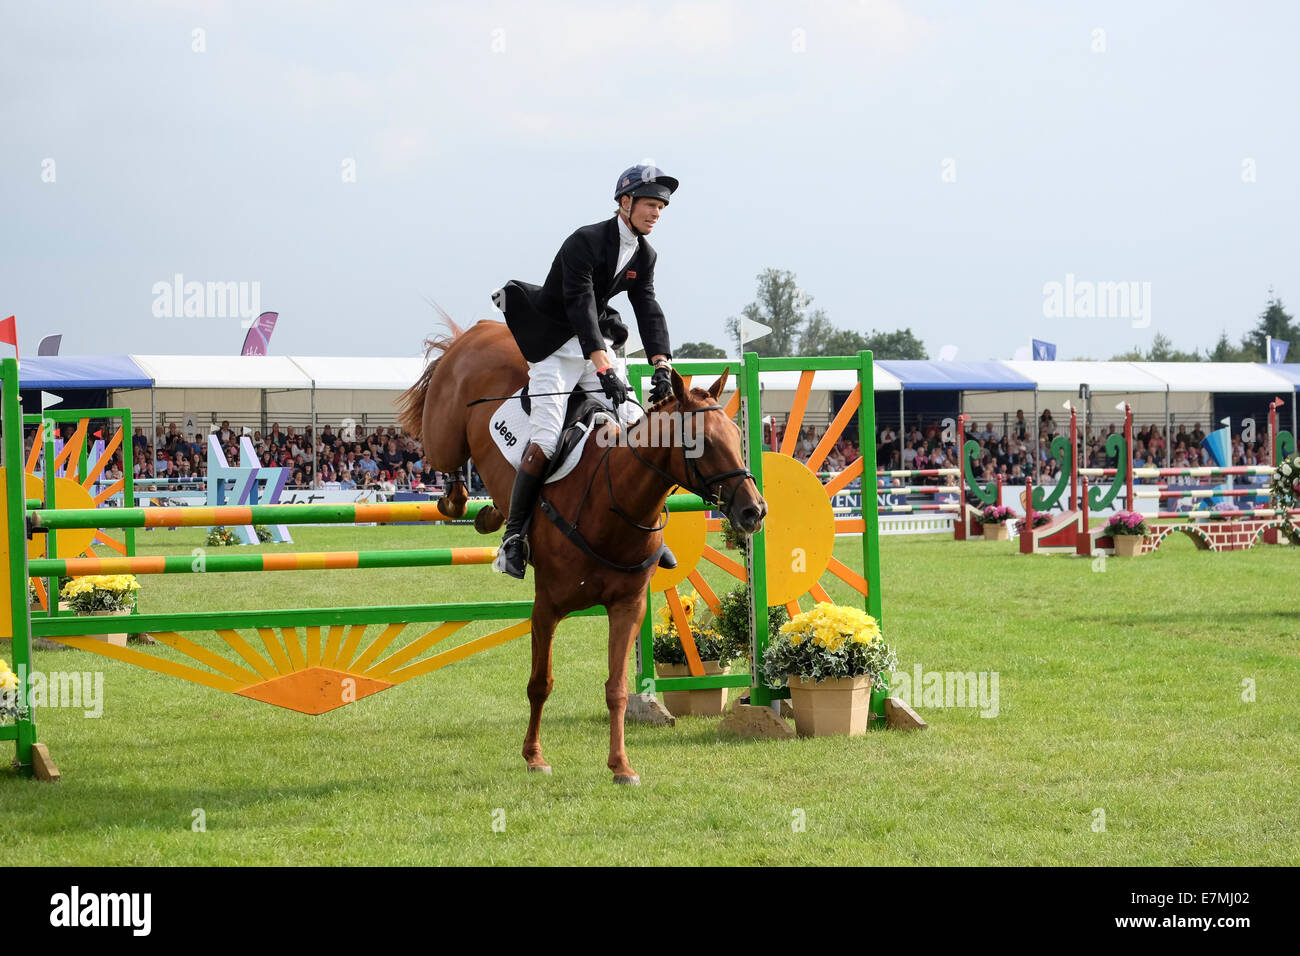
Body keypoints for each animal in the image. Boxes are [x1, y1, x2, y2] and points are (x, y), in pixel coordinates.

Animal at [398, 320, 767, 784]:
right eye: (700, 441)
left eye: (738, 435)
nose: (754, 510)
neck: (611, 504)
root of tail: (483, 328)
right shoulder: (546, 607)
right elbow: (540, 683)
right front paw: (534, 756)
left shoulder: (628, 607)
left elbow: (617, 689)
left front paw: (621, 765)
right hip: (445, 434)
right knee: (446, 463)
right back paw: (463, 504)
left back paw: (492, 515)